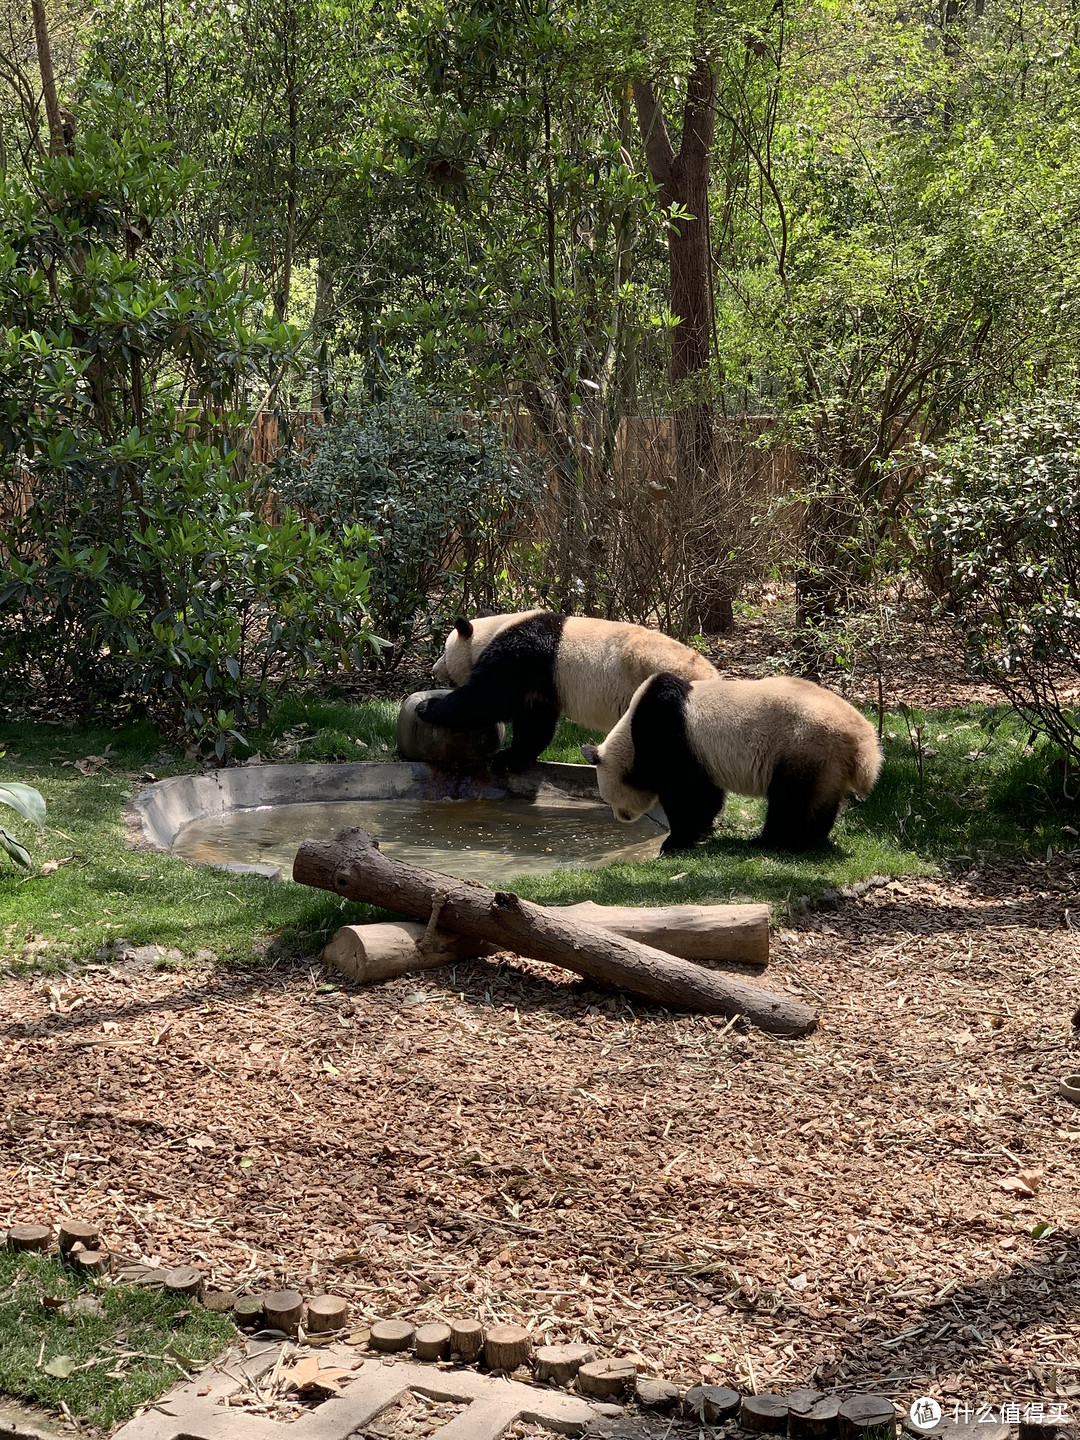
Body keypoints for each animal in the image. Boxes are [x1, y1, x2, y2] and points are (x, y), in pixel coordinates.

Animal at [417, 607, 720, 777]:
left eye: (445, 651)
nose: (435, 668)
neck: (496, 629)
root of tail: (713, 677)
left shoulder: (522, 655)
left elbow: (485, 698)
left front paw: (427, 707)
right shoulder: (543, 682)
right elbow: (535, 721)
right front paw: (512, 758)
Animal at [584, 671, 881, 852]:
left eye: (609, 797)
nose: (622, 817)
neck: (630, 738)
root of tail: (861, 739)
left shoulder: (668, 737)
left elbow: (689, 794)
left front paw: (675, 841)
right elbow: (707, 794)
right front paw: (700, 831)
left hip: (803, 745)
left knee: (789, 800)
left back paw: (771, 841)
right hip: (828, 764)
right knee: (821, 802)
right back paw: (811, 839)